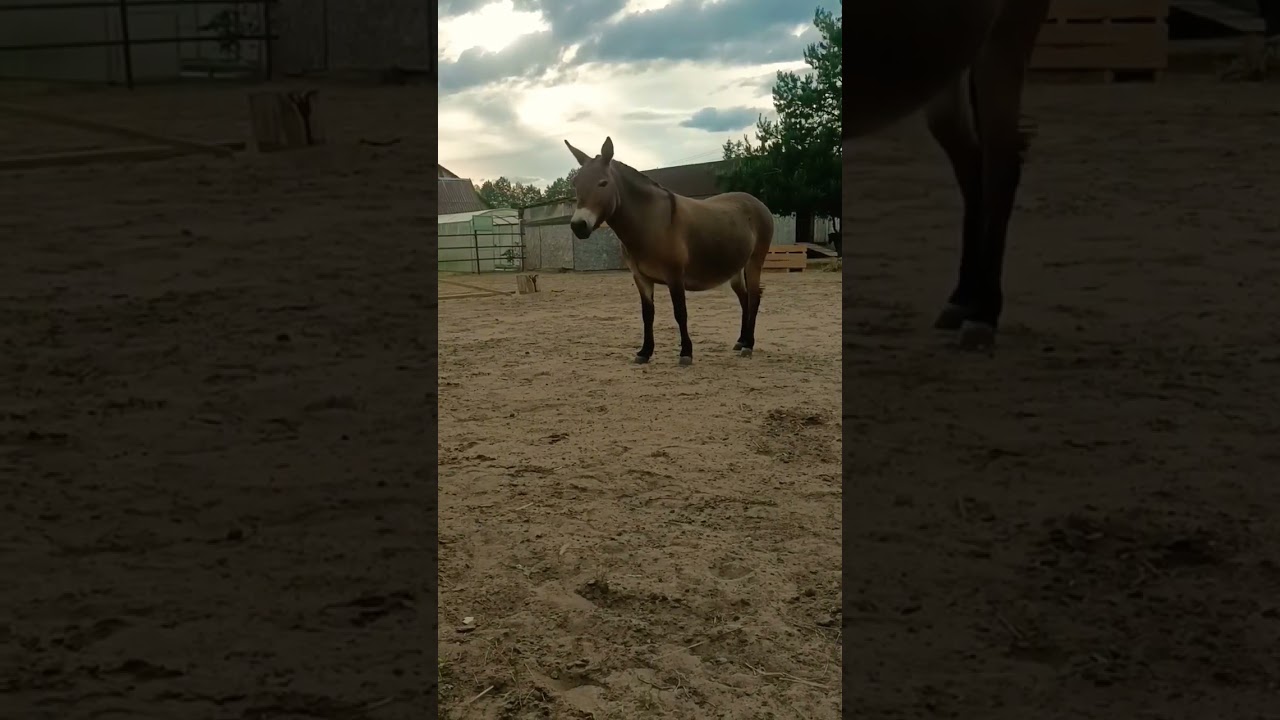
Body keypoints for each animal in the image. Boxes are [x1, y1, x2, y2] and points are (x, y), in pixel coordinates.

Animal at [564, 137, 775, 366]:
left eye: (603, 183)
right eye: (575, 184)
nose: (578, 226)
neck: (651, 222)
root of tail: (756, 202)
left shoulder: (674, 276)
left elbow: (680, 313)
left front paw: (686, 353)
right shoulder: (641, 278)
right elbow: (647, 314)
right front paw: (645, 352)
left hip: (754, 262)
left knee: (754, 298)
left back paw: (748, 345)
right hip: (735, 268)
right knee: (744, 299)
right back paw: (741, 340)